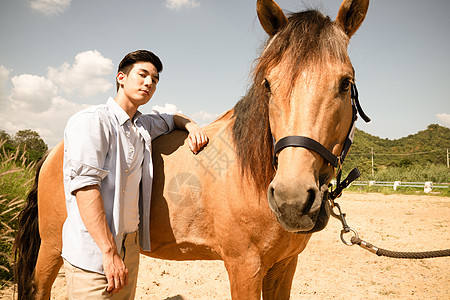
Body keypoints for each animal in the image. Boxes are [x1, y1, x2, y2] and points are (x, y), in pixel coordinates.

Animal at [14, 1, 370, 298]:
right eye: (268, 84)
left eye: (345, 83)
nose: (292, 200)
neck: (250, 174)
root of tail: (55, 150)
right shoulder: (245, 266)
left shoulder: (284, 266)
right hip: (52, 248)